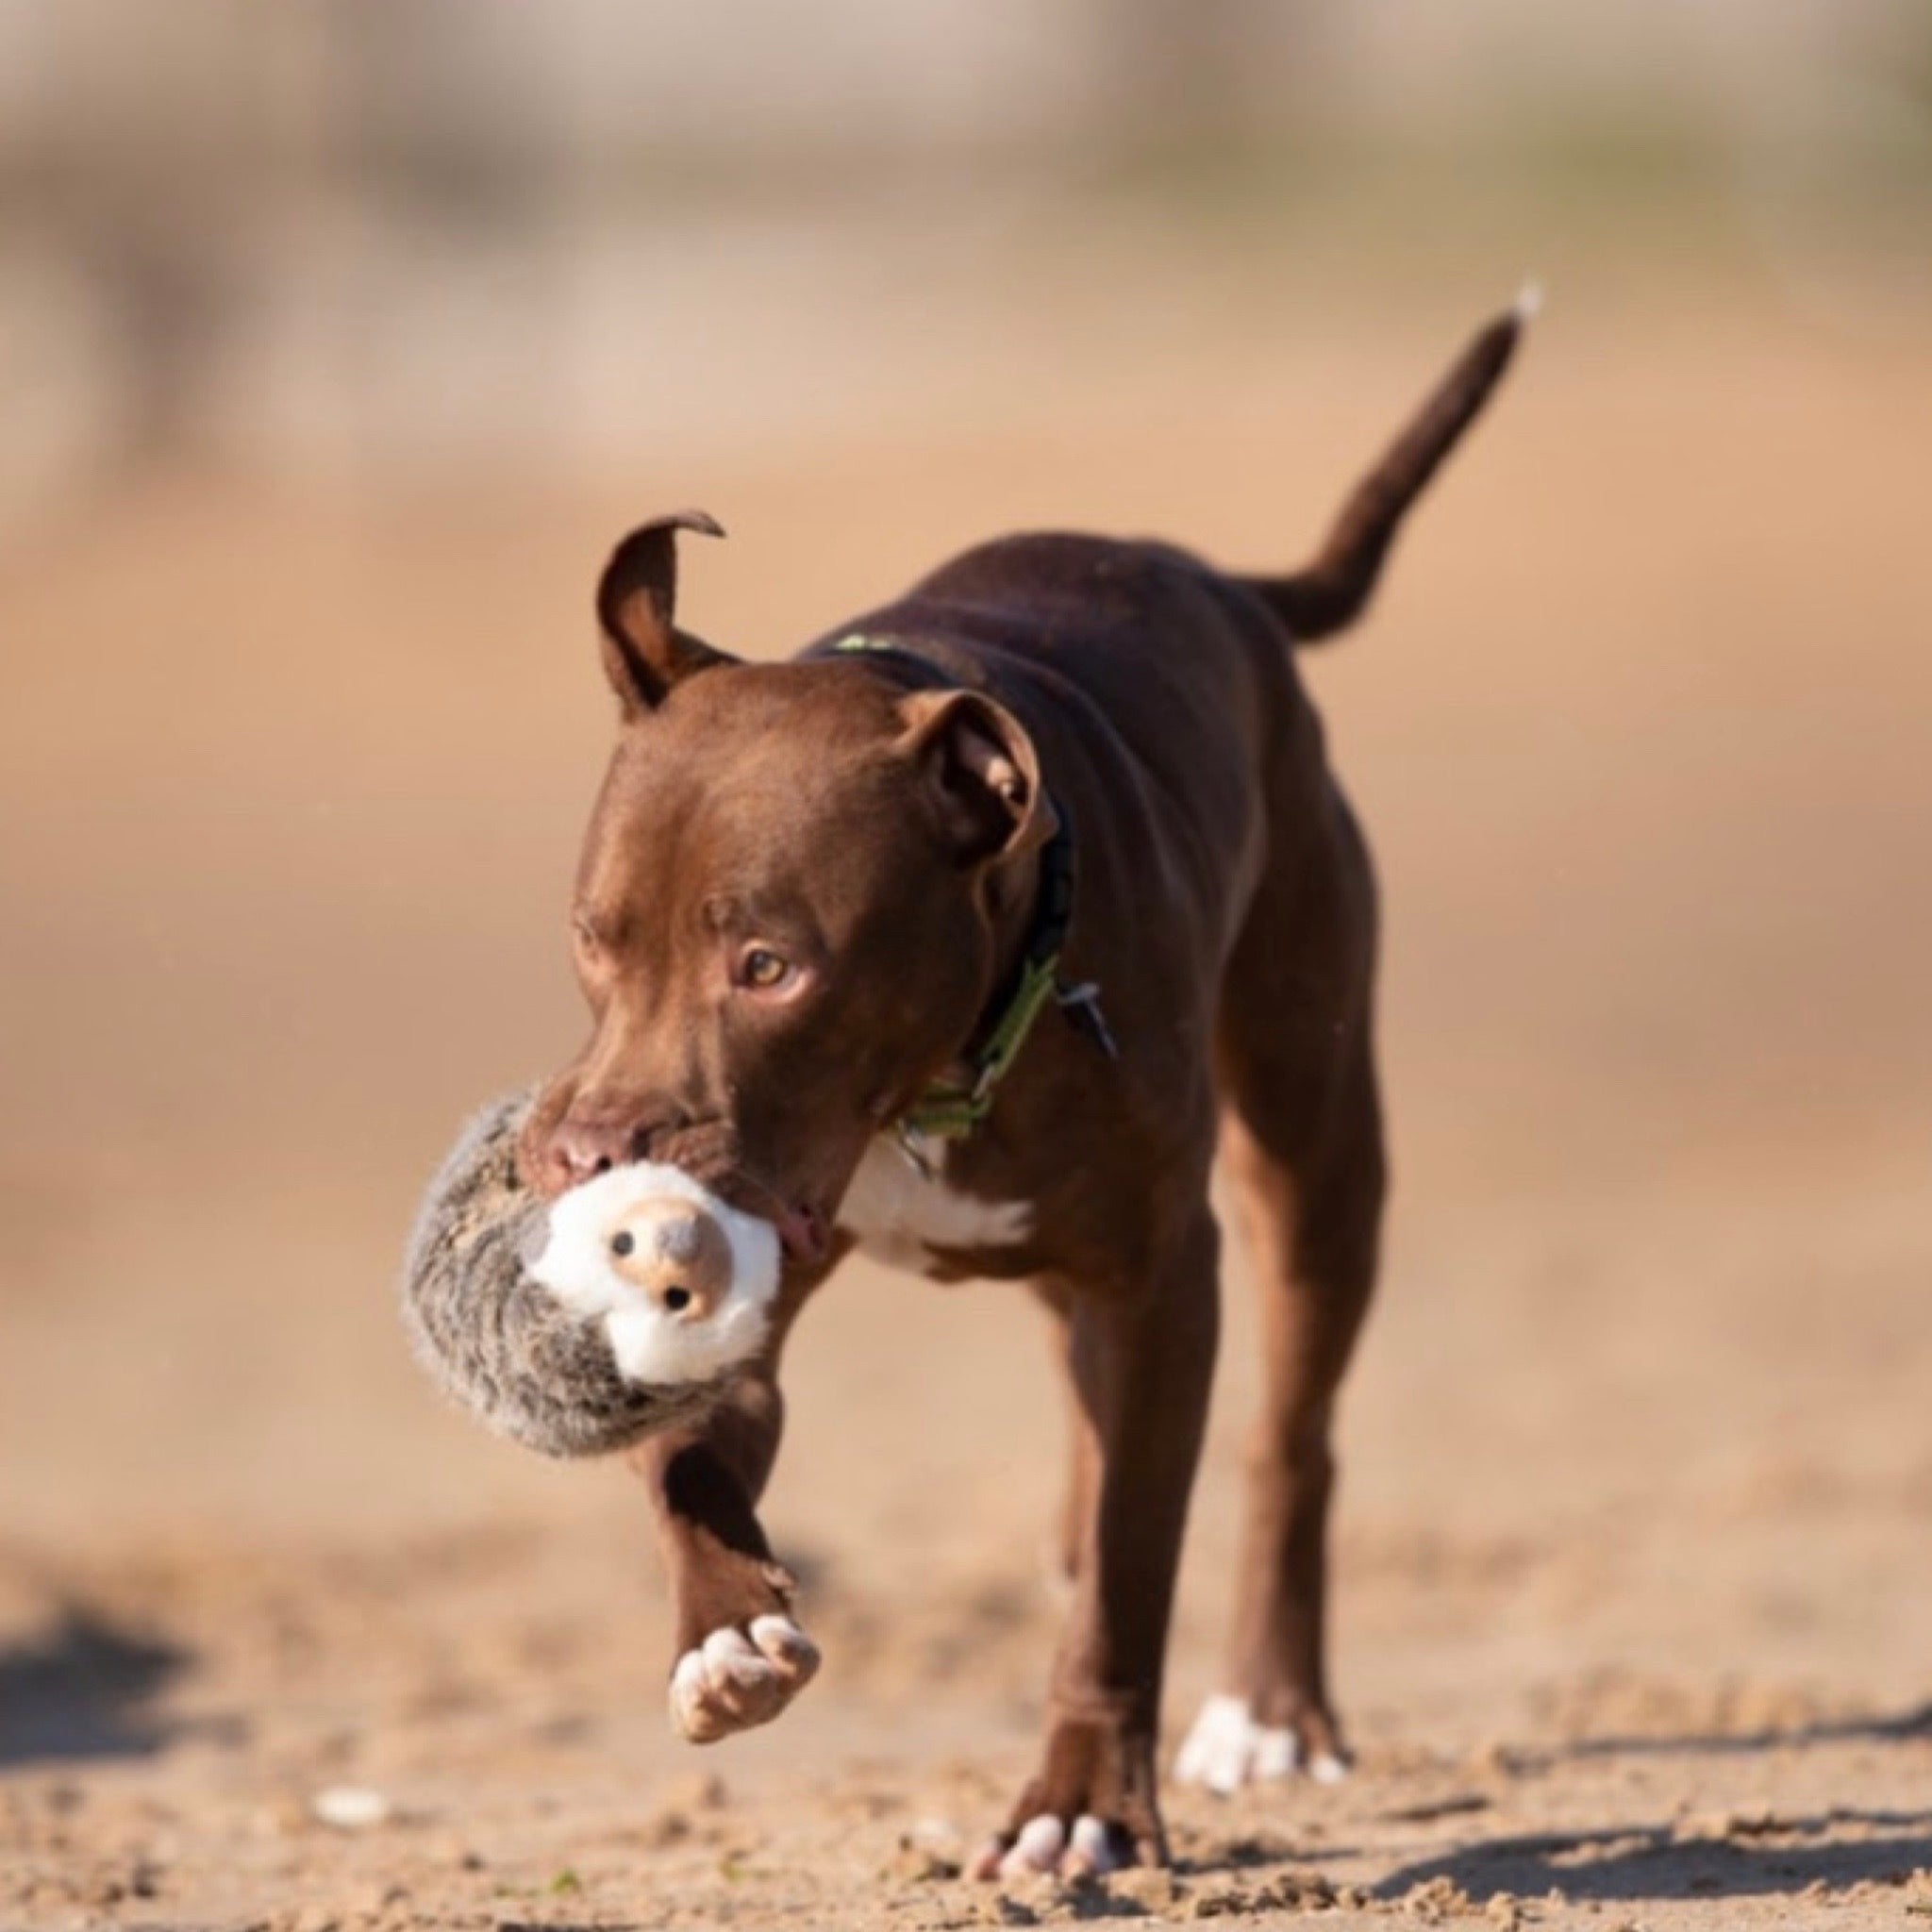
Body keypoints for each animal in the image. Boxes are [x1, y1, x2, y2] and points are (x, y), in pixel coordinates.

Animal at [521, 297, 1530, 1870]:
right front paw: (726, 1632)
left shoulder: (1167, 1281)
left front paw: (1083, 1809)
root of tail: (1224, 586)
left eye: (770, 966)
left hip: (1314, 1150)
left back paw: (1272, 1714)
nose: (588, 1152)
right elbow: (689, 1457)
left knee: (1289, 1442)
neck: (929, 1085)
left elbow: (1133, 1568)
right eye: (593, 936)